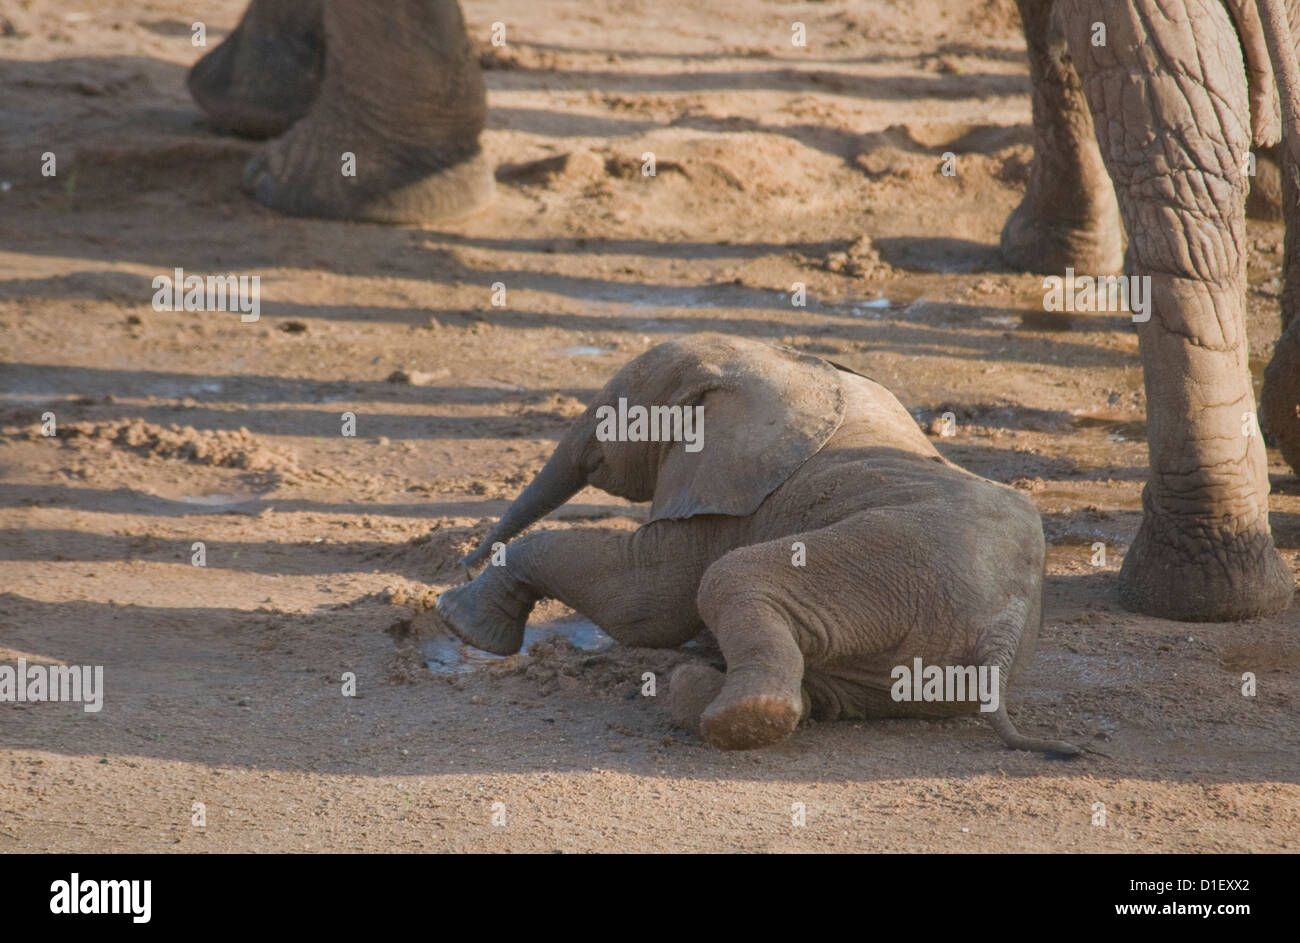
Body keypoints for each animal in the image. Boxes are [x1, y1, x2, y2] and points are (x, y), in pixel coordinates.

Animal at [435, 334, 1082, 755]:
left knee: (730, 578)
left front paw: (457, 622)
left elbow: (647, 602)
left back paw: (735, 718)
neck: (787, 361)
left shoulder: (726, 492)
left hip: (897, 565)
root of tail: (1003, 631)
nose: (461, 562)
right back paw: (701, 687)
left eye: (619, 409)